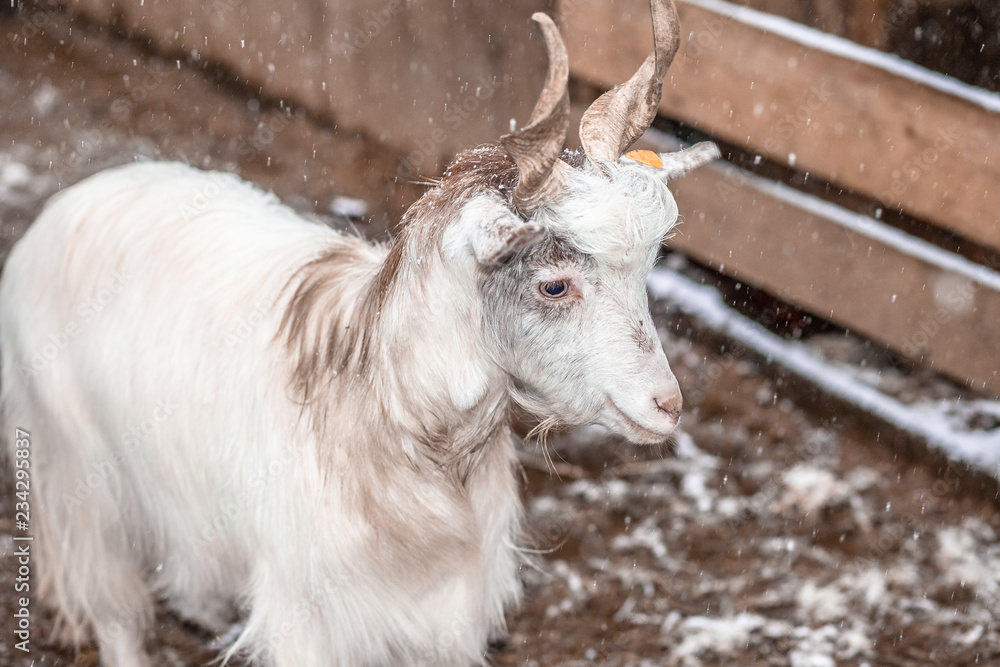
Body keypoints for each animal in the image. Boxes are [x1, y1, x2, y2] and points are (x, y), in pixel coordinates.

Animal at [0, 1, 718, 665]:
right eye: (554, 285)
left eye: (647, 270)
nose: (666, 404)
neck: (384, 414)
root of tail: (62, 211)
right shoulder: (307, 612)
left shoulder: (449, 607)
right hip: (83, 484)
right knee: (115, 611)